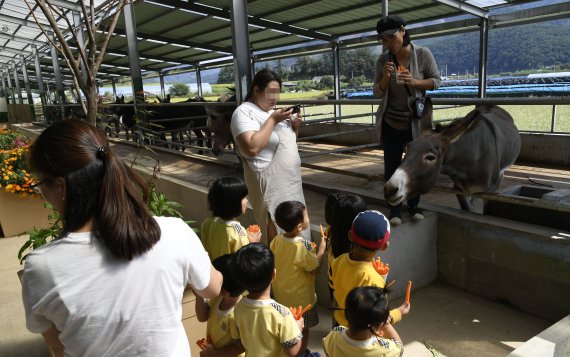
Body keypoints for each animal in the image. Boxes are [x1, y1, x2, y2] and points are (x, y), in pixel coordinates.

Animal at [382, 96, 520, 211]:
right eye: (406, 148)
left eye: (430, 157)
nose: (390, 189)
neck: (470, 158)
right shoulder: (459, 189)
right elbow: (466, 209)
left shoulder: (489, 193)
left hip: (500, 175)